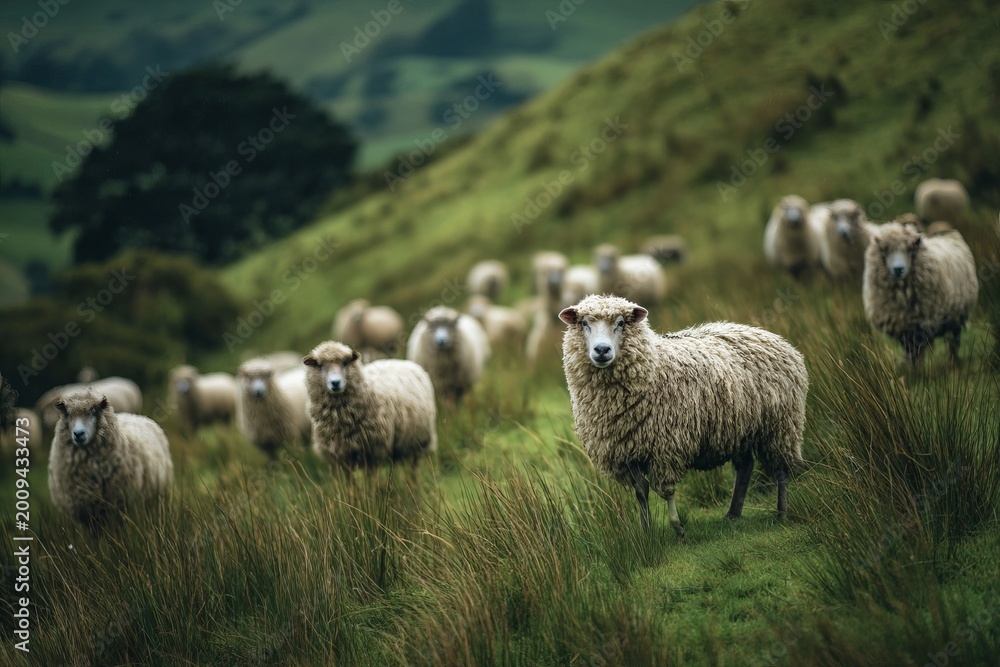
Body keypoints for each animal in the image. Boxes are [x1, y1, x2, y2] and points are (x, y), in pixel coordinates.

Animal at [48, 388, 173, 529]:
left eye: (94, 411)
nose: (78, 434)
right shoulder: (84, 515)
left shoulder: (118, 507)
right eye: (67, 413)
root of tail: (136, 416)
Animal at [304, 341, 437, 474]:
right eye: (320, 365)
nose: (335, 383)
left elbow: (370, 478)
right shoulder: (340, 456)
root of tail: (402, 361)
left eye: (345, 362)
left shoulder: (372, 451)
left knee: (413, 468)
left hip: (418, 442)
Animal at [559, 295, 808, 535]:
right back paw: (733, 514)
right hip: (740, 427)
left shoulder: (667, 447)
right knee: (745, 467)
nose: (602, 350)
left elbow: (666, 490)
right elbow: (641, 491)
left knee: (781, 470)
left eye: (621, 323)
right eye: (584, 323)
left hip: (781, 425)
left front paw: (677, 528)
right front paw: (646, 532)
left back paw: (782, 513)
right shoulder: (625, 451)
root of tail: (774, 337)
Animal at [863, 221, 978, 365]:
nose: (898, 269)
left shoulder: (922, 327)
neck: (903, 295)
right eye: (885, 249)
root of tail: (950, 234)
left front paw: (918, 370)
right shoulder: (902, 328)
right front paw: (909, 368)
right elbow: (909, 352)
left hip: (958, 317)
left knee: (954, 342)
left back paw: (953, 363)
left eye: (910, 249)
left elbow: (918, 353)